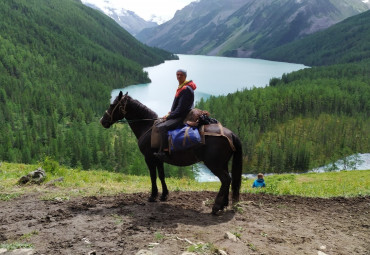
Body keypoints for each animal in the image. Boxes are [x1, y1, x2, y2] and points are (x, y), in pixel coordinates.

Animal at [99, 90, 243, 214]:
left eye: (112, 105)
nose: (102, 121)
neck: (147, 127)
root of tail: (231, 134)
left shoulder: (149, 158)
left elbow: (153, 176)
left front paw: (153, 196)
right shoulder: (158, 159)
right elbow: (161, 175)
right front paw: (164, 195)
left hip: (214, 164)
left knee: (225, 179)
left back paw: (216, 207)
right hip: (223, 163)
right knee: (228, 180)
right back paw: (223, 205)